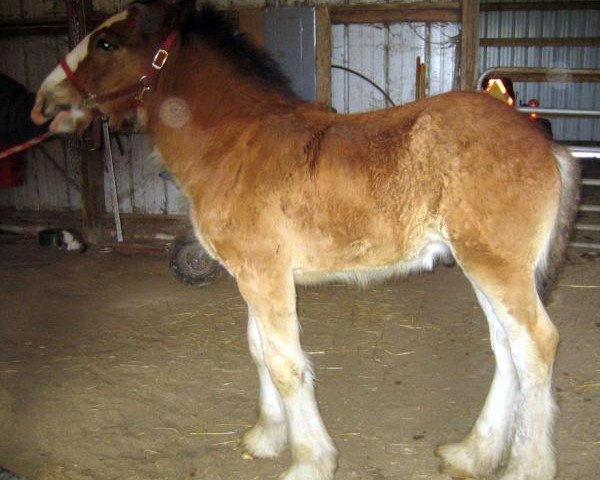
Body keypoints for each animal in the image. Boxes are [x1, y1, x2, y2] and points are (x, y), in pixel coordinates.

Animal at [30, 1, 580, 478]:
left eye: (106, 43)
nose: (43, 102)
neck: (233, 144)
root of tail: (545, 143)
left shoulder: (265, 276)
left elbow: (285, 364)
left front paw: (309, 462)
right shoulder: (251, 277)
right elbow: (259, 351)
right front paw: (267, 438)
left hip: (497, 268)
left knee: (536, 346)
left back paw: (526, 468)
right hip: (483, 269)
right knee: (506, 349)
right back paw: (473, 454)